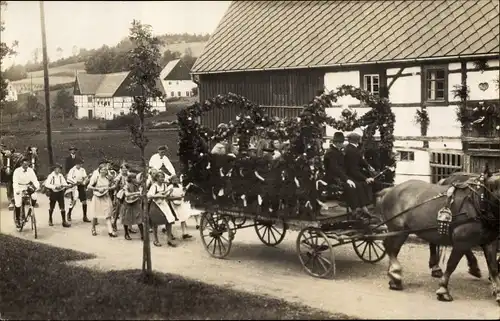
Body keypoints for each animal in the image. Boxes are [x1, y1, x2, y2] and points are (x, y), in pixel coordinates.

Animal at [376, 170, 500, 302]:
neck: (480, 202)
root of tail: (389, 190)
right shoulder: (461, 241)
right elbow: (451, 264)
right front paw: (443, 290)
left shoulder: (490, 242)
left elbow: (493, 267)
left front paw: (497, 291)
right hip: (399, 230)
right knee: (390, 248)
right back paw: (396, 274)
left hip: (400, 231)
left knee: (391, 248)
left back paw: (394, 278)